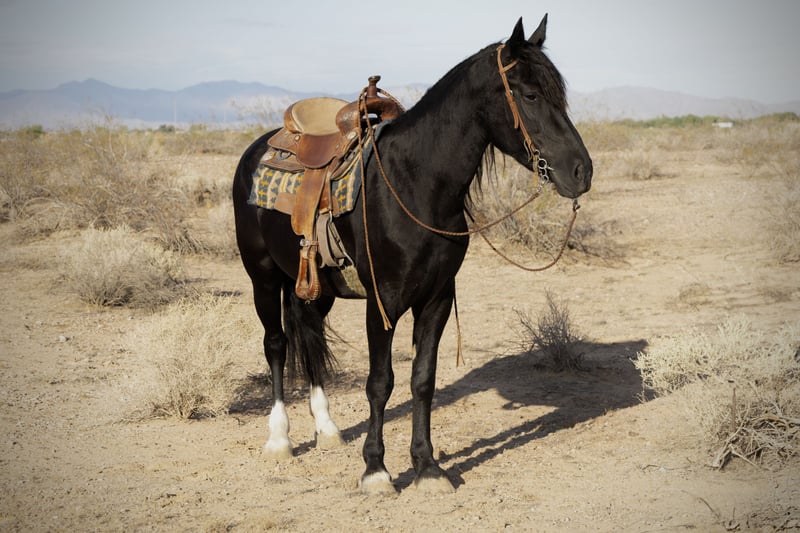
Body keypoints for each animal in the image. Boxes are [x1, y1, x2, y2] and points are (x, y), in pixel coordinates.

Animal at [232, 15, 592, 494]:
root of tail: (258, 147)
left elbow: (423, 380)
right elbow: (380, 382)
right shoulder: (383, 303)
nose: (582, 171)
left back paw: (327, 430)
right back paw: (279, 439)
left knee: (309, 336)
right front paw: (376, 470)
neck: (415, 184)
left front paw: (427, 466)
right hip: (263, 277)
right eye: (530, 94)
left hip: (315, 288)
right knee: (276, 344)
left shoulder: (436, 298)